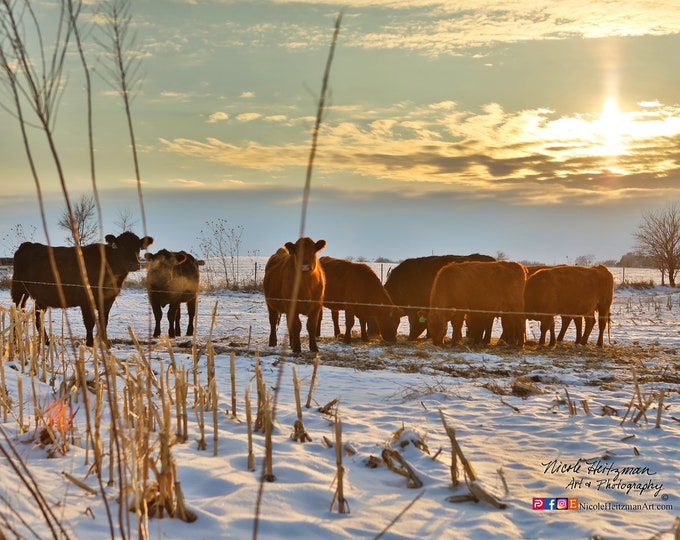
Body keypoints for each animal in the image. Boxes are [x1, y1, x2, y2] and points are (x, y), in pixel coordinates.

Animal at [11, 231, 152, 346]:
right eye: (120, 247)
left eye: (138, 248)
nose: (134, 264)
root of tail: (26, 245)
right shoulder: (85, 298)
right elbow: (90, 322)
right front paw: (90, 343)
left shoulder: (108, 299)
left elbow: (103, 321)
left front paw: (106, 343)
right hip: (19, 290)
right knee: (16, 313)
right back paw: (14, 341)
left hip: (41, 297)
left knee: (38, 318)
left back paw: (46, 341)